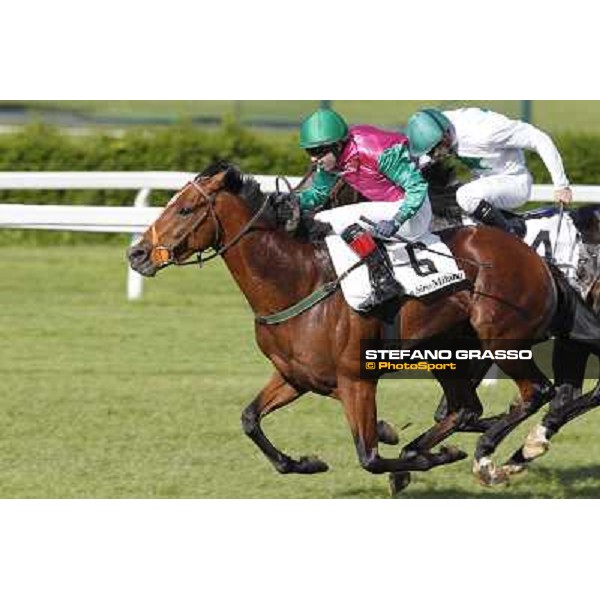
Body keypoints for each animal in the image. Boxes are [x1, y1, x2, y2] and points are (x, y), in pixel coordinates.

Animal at [127, 161, 564, 492]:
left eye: (185, 210)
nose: (138, 253)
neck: (297, 282)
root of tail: (534, 257)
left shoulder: (357, 380)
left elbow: (369, 457)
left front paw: (421, 455)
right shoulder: (295, 376)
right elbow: (250, 420)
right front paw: (307, 462)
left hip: (501, 338)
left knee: (535, 393)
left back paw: (492, 456)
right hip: (449, 350)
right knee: (465, 408)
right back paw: (429, 447)